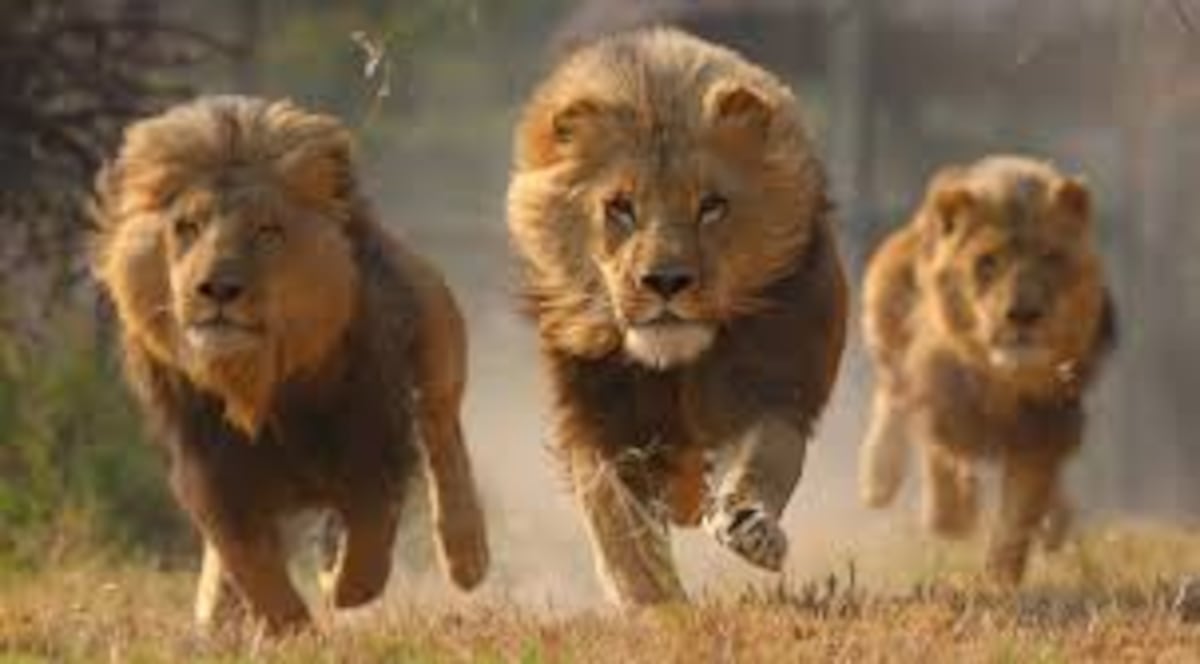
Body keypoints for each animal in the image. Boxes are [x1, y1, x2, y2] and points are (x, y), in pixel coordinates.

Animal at [91, 96, 489, 632]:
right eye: (186, 227)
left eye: (267, 230)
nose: (217, 289)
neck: (262, 383)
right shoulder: (214, 475)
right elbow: (252, 568)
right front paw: (285, 627)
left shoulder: (372, 445)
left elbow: (366, 549)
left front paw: (335, 577)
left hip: (437, 332)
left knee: (443, 433)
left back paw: (467, 555)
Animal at [506, 28, 847, 607]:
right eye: (620, 207)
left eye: (712, 206)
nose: (665, 282)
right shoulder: (598, 414)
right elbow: (620, 527)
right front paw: (653, 603)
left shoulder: (770, 379)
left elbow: (767, 455)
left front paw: (750, 525)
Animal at [859, 155, 1116, 584]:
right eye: (987, 263)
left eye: (1051, 257)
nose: (1024, 314)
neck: (1002, 379)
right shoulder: (939, 400)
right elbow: (943, 453)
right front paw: (951, 515)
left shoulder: (1047, 424)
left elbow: (1020, 513)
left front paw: (999, 579)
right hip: (886, 306)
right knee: (891, 394)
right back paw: (878, 478)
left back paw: (1057, 523)